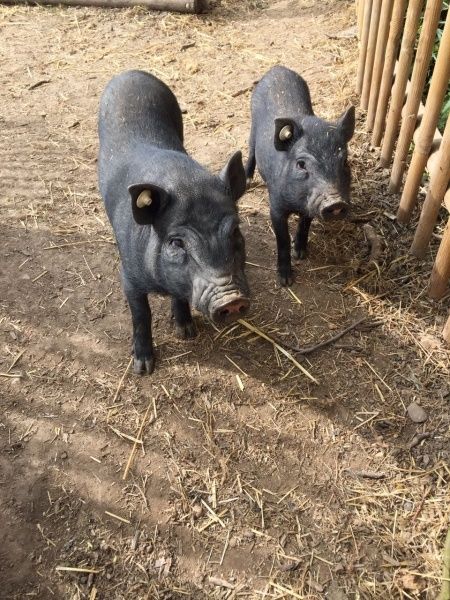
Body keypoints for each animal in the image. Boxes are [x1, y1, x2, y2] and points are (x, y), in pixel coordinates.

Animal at [99, 69, 251, 370]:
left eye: (235, 231)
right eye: (176, 242)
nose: (232, 299)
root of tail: (132, 72)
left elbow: (180, 297)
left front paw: (186, 332)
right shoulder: (129, 277)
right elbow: (141, 314)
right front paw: (143, 367)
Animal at [246, 65, 356, 286]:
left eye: (345, 161)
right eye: (301, 164)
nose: (335, 201)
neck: (297, 204)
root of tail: (277, 68)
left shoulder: (310, 205)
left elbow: (305, 224)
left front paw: (301, 254)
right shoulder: (275, 206)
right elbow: (282, 240)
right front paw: (285, 281)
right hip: (252, 125)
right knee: (250, 150)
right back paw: (246, 180)